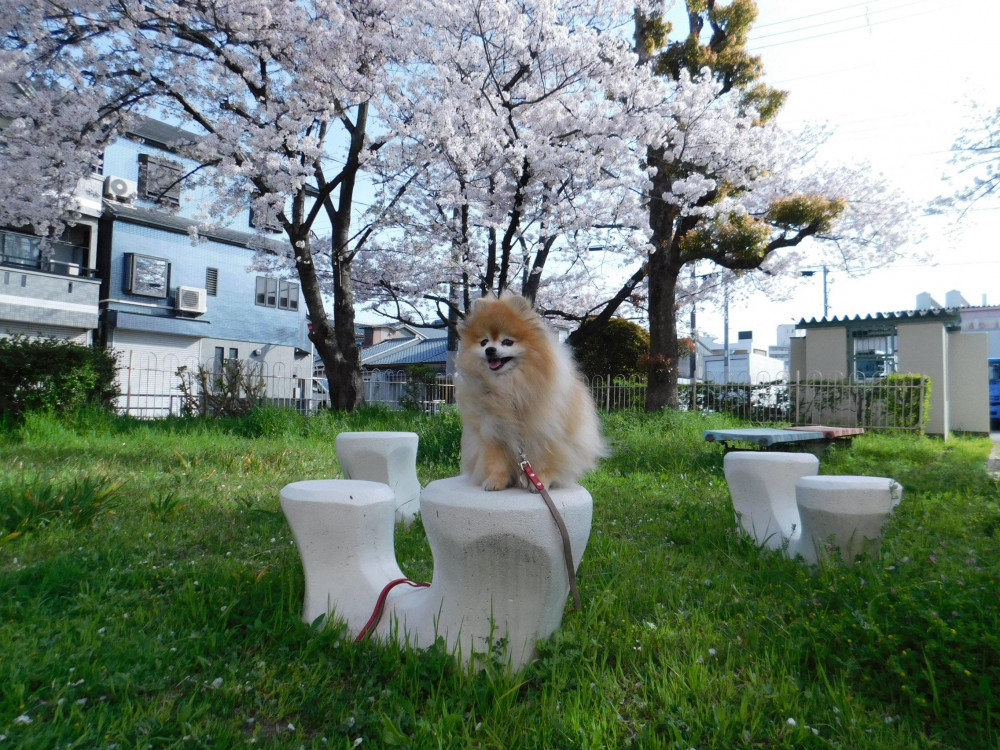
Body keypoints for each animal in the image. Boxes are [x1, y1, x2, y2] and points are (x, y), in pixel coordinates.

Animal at [458, 294, 604, 494]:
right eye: (484, 342)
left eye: (507, 342)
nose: (490, 350)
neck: (508, 387)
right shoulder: (492, 431)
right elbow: (496, 462)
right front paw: (496, 480)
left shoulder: (545, 431)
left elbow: (544, 460)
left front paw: (540, 481)